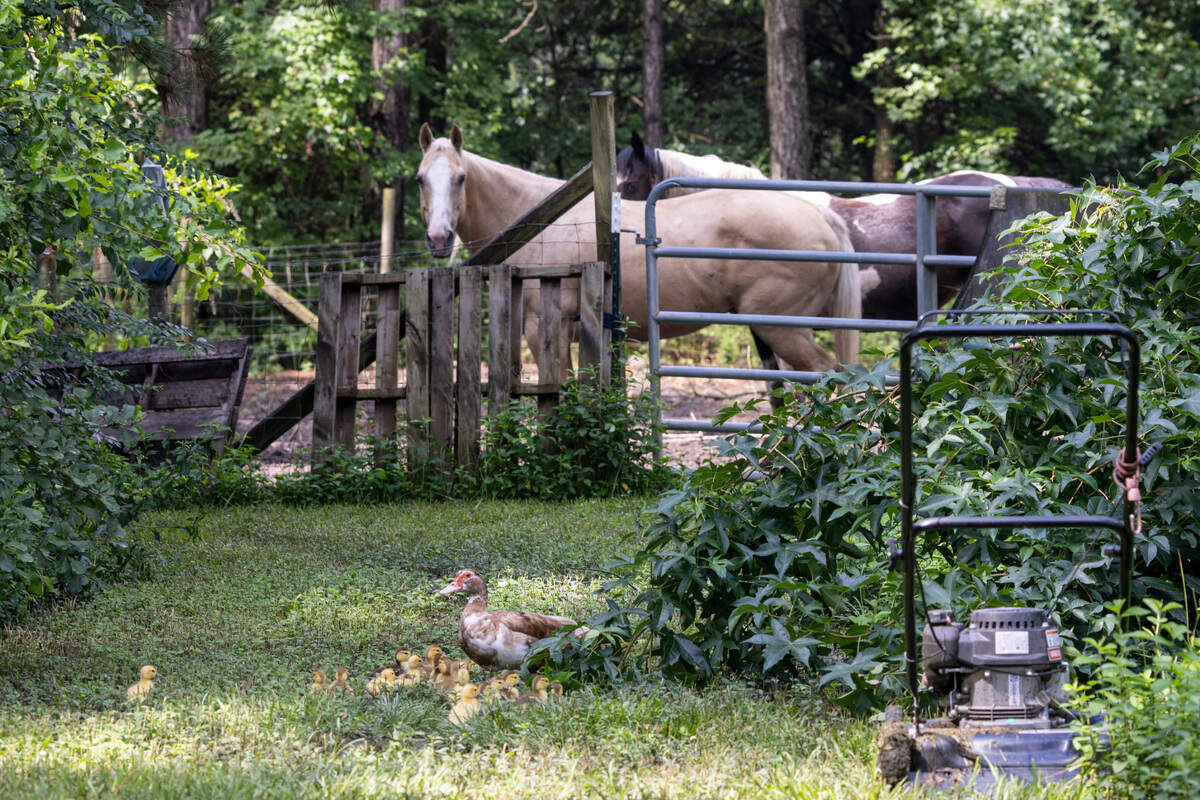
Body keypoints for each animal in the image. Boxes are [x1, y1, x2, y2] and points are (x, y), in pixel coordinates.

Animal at [417, 123, 861, 383]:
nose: (438, 238)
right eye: (421, 178)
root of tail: (821, 215)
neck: (537, 223)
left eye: (461, 178)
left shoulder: (545, 329)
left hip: (782, 331)